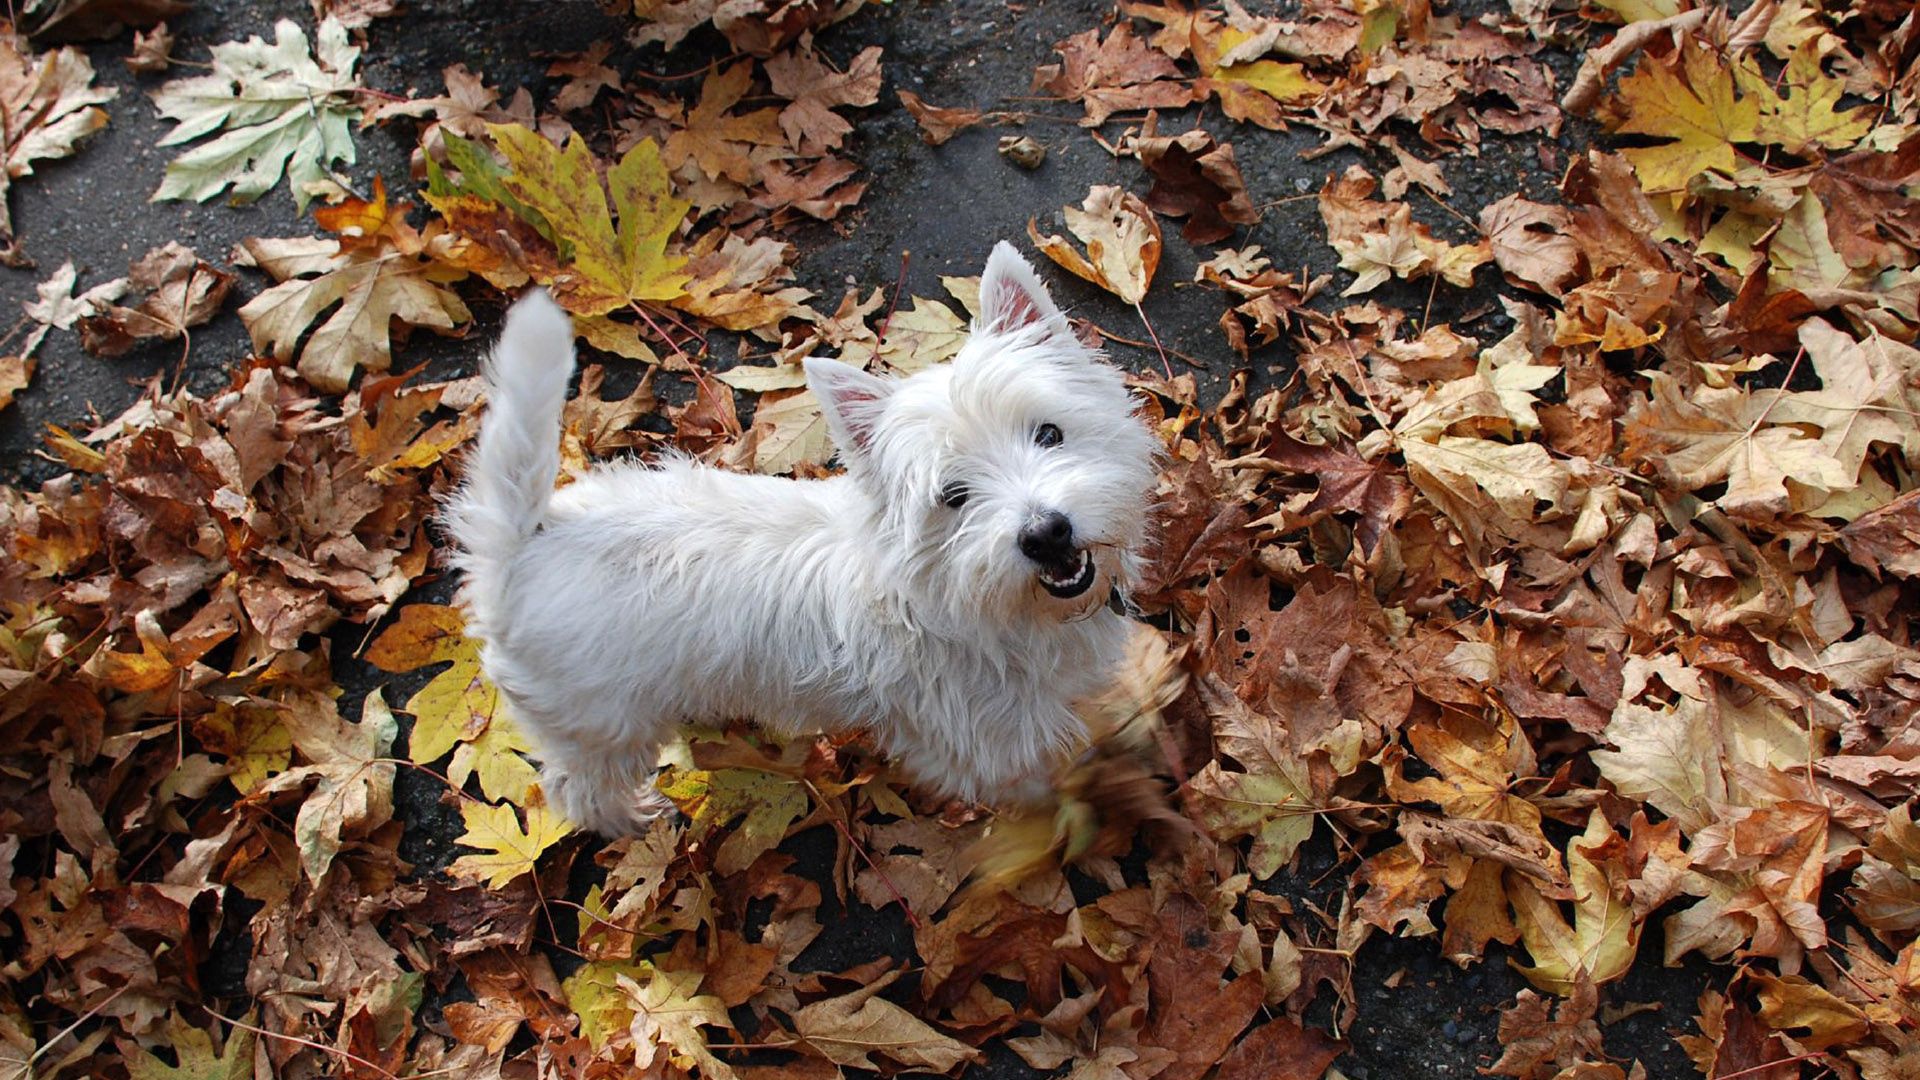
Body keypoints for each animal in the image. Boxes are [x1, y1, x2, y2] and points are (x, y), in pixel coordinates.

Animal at [445, 244, 1152, 834]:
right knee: (576, 788)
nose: (1046, 533)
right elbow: (1035, 783)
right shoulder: (984, 743)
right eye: (953, 497)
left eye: (1049, 433)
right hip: (601, 724)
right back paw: (634, 819)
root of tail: (525, 545)